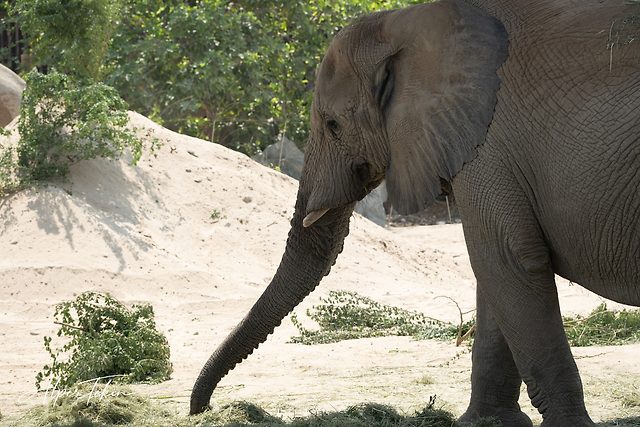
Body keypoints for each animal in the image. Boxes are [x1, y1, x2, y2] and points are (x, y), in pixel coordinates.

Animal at [190, 0, 640, 425]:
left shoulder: (487, 144)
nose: (203, 409)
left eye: (333, 124)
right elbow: (494, 275)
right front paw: (485, 422)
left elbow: (508, 260)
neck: (406, 24)